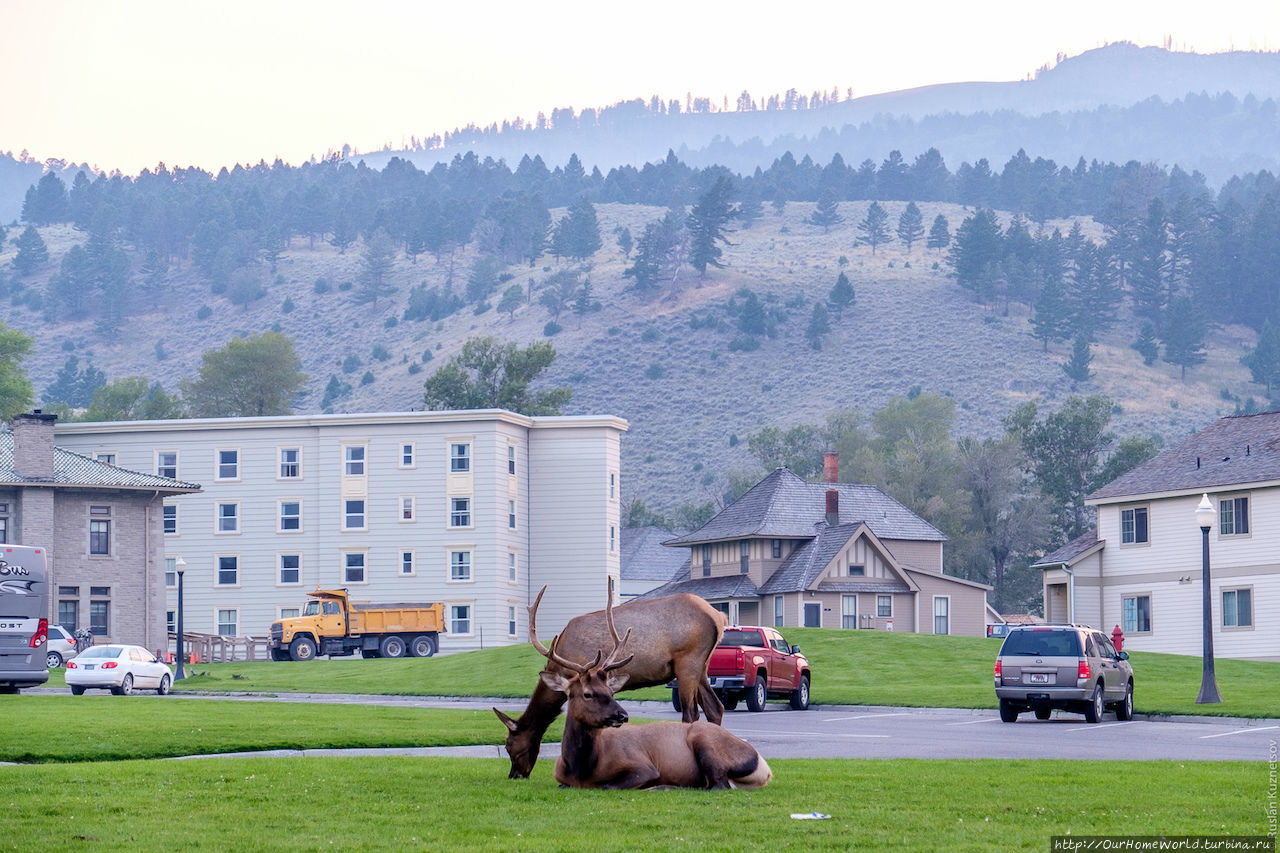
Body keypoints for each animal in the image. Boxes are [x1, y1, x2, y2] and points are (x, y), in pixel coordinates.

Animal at [519, 581, 768, 788]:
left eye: (514, 741)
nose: (516, 774)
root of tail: (719, 616)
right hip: (702, 667)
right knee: (715, 707)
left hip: (688, 661)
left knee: (691, 713)